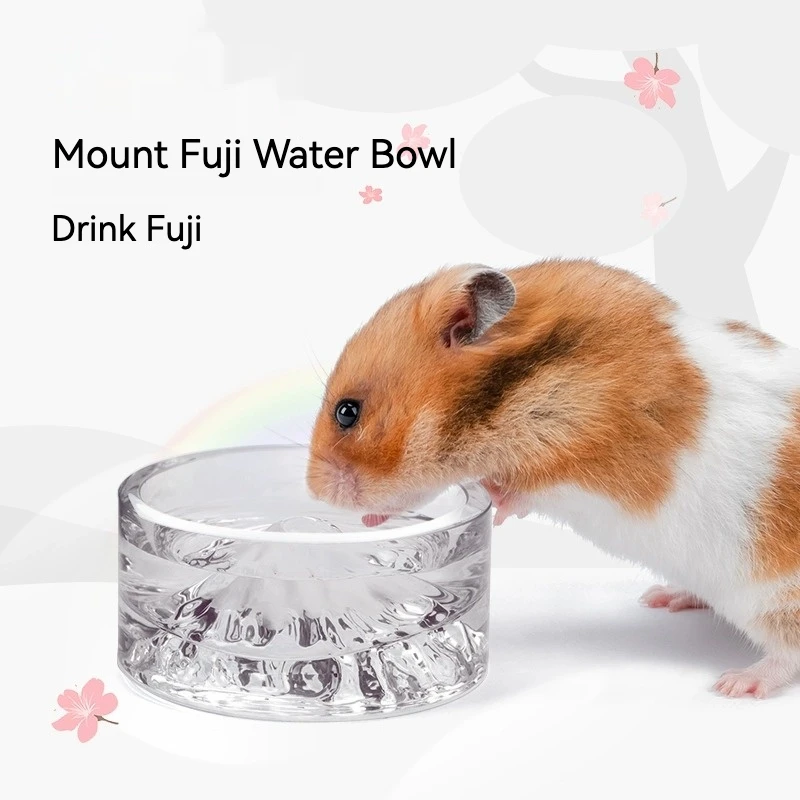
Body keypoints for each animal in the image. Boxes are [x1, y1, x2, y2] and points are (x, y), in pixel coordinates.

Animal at [306, 258, 800, 699]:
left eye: (347, 412)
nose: (313, 491)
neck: (519, 385)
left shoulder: (582, 459)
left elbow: (524, 491)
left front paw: (493, 502)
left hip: (776, 596)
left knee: (786, 654)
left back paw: (735, 684)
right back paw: (663, 597)